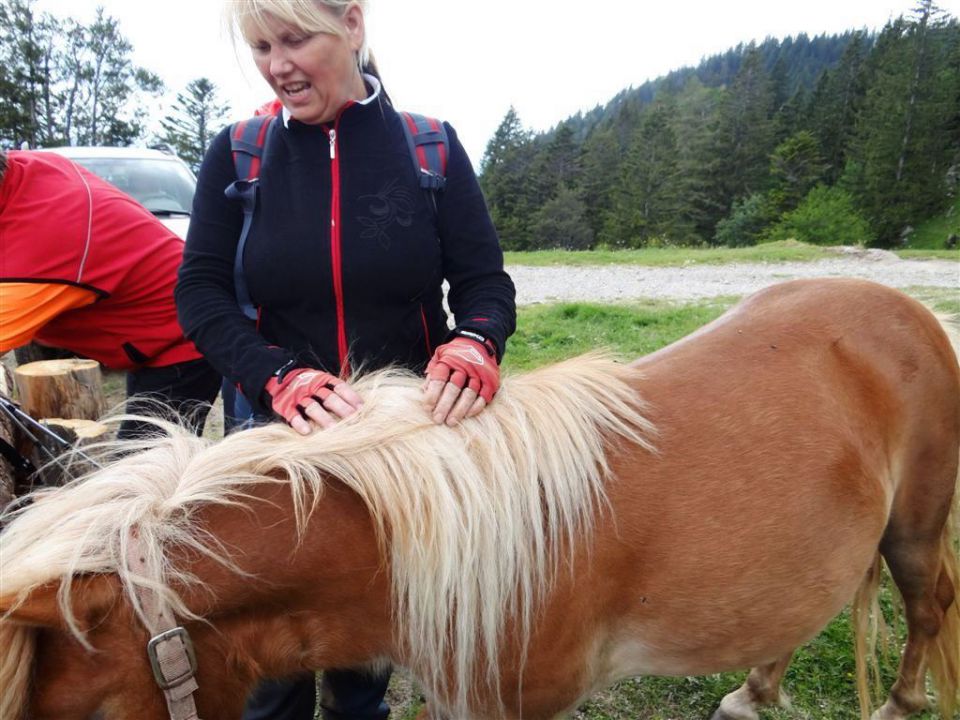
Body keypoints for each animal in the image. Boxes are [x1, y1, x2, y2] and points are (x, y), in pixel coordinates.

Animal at [1, 280, 960, 720]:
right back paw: (754, 692)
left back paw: (899, 702)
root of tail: (902, 308)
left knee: (927, 605)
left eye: (86, 713)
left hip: (915, 526)